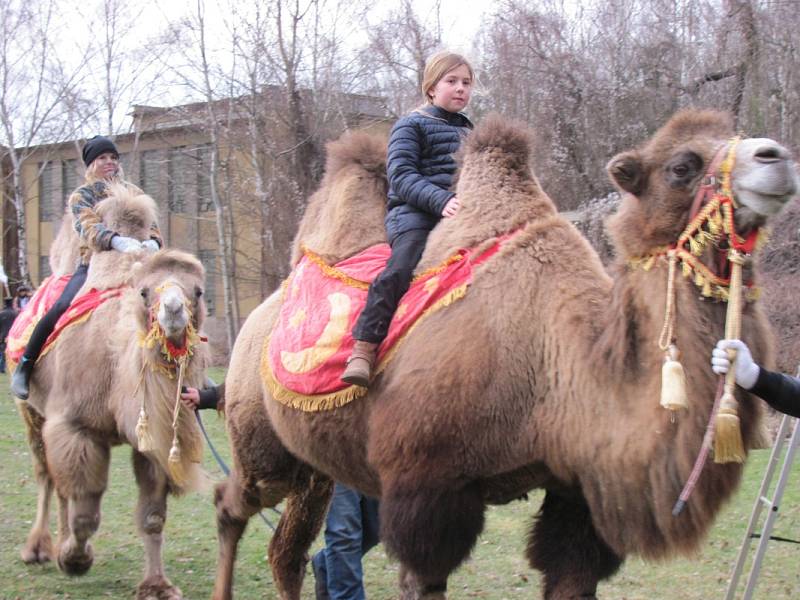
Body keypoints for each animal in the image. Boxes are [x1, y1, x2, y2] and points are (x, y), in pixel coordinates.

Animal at [16, 186, 211, 600]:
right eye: (144, 291)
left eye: (198, 291)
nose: (173, 311)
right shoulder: (75, 427)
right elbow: (86, 512)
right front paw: (75, 560)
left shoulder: (152, 441)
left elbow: (152, 516)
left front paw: (157, 585)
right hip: (31, 410)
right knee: (45, 474)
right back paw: (39, 549)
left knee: (59, 483)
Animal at [211, 113, 792, 600]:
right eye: (681, 166)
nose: (777, 156)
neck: (557, 364)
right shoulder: (427, 484)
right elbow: (422, 579)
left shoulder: (577, 496)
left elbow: (571, 573)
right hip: (262, 444)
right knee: (230, 503)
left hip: (313, 469)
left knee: (287, 550)